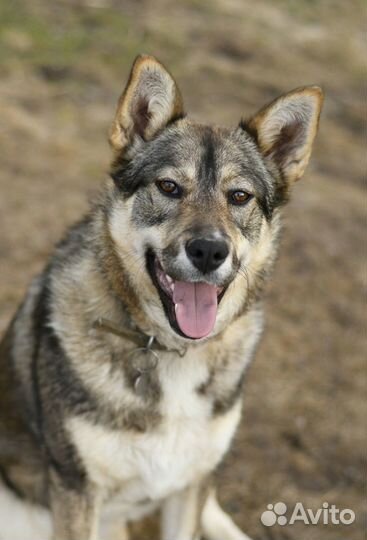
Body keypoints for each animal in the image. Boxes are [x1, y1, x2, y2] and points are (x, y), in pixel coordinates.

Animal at [0, 56, 322, 540]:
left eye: (239, 196)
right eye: (169, 187)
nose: (208, 251)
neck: (172, 352)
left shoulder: (188, 485)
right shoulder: (76, 490)